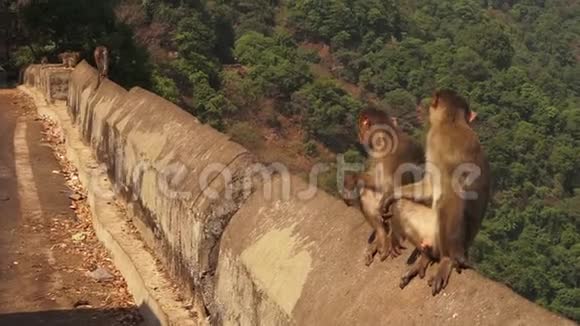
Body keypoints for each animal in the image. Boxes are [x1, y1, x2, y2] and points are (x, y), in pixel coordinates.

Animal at [380, 89, 490, 296]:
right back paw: (426, 257)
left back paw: (446, 258)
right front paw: (390, 195)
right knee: (401, 205)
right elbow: (429, 187)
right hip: (429, 234)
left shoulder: (439, 141)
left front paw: (450, 260)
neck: (452, 122)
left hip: (441, 236)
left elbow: (454, 195)